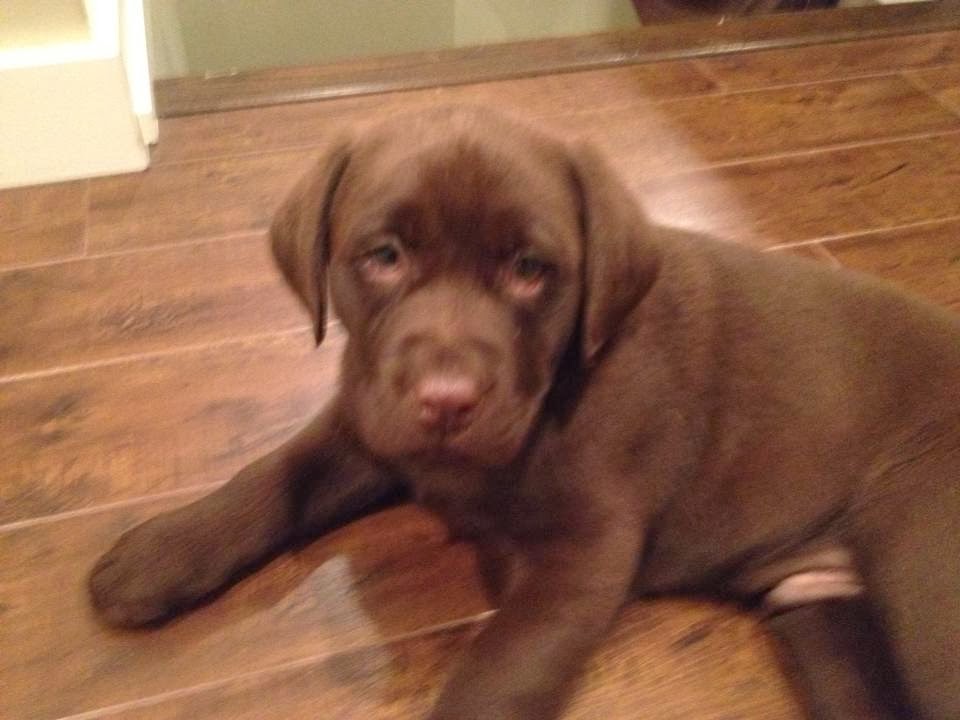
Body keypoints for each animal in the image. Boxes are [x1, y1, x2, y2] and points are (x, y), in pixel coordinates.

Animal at [89, 106, 959, 720]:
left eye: (530, 269)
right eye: (383, 256)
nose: (446, 401)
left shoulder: (583, 554)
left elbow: (496, 677)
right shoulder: (368, 418)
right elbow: (275, 475)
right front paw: (160, 551)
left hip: (922, 569)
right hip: (828, 629)